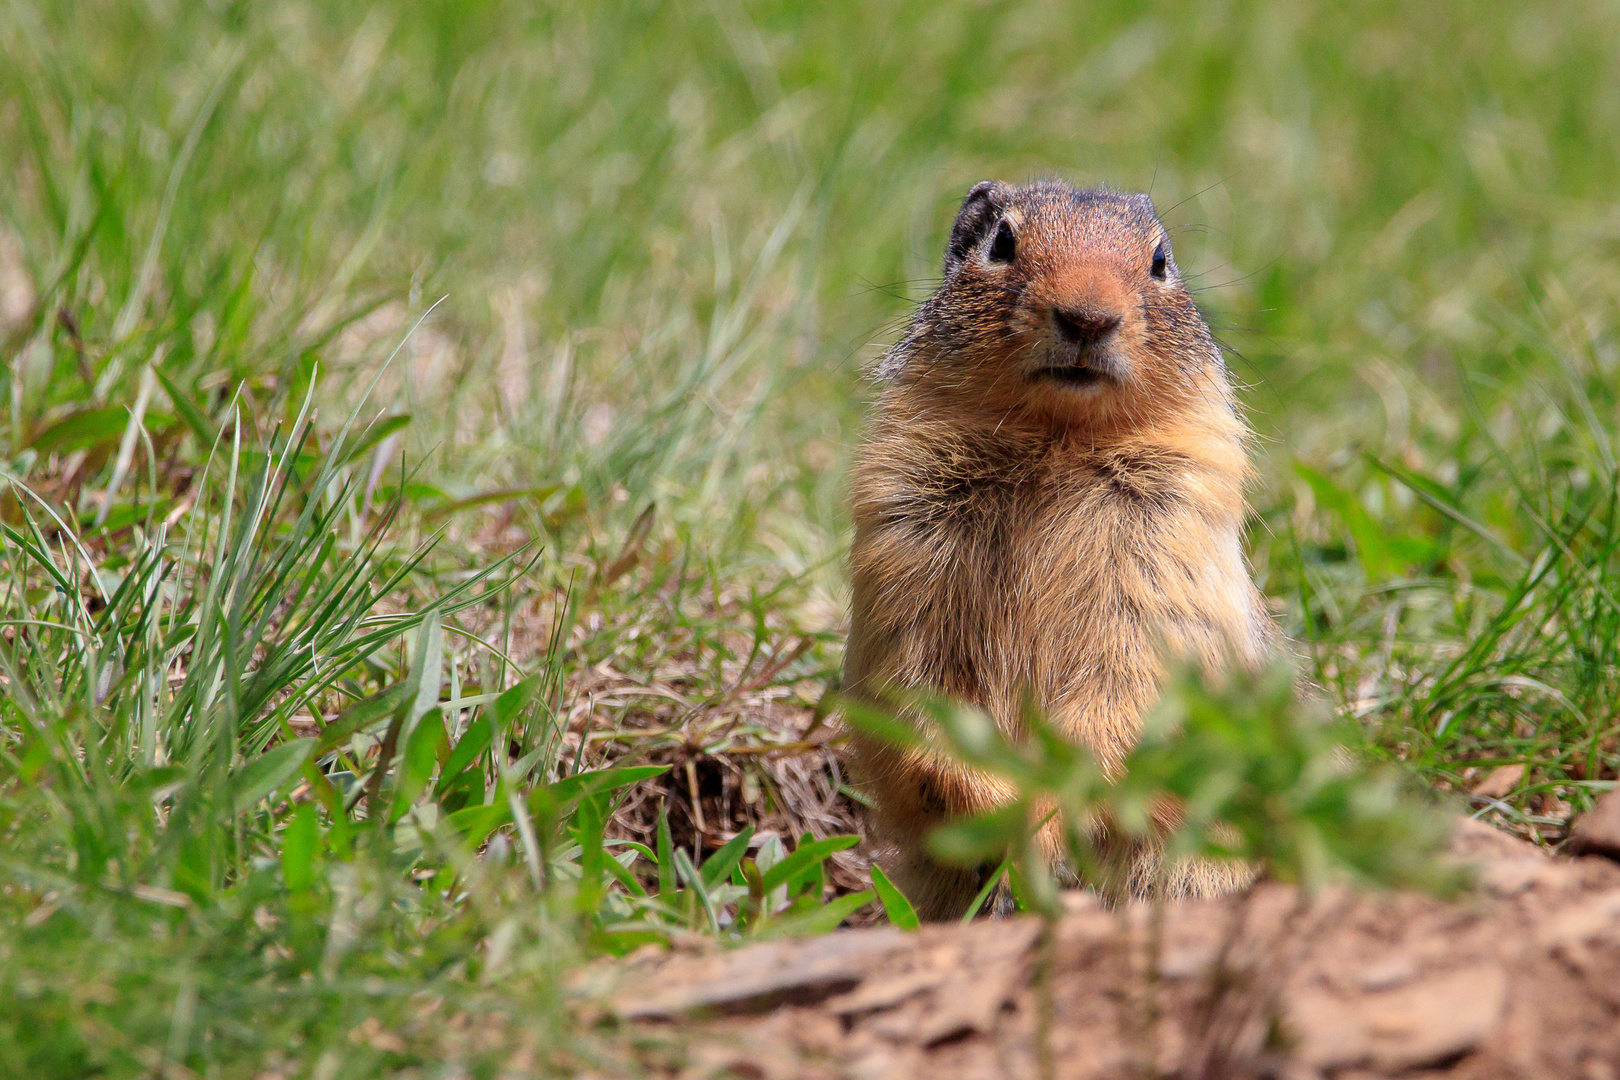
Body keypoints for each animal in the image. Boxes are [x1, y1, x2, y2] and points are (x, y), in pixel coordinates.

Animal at [848, 177, 1276, 919]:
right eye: (1001, 242)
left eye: (1160, 261)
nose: (1087, 316)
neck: (1057, 441)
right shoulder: (904, 537)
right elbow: (917, 691)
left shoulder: (1167, 546)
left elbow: (1128, 690)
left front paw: (1044, 828)